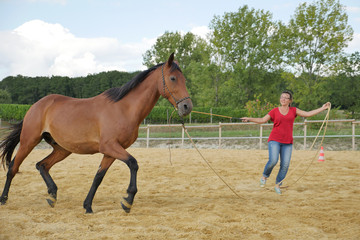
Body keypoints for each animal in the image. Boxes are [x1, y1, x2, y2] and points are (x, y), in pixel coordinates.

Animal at [0, 53, 193, 213]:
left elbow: (98, 177)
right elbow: (133, 164)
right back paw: (4, 199)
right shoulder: (110, 146)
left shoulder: (111, 151)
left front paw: (88, 206)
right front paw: (127, 201)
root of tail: (36, 106)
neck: (124, 108)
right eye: (173, 78)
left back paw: (52, 196)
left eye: (184, 79)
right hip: (28, 141)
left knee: (42, 165)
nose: (187, 107)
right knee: (13, 168)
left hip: (62, 149)